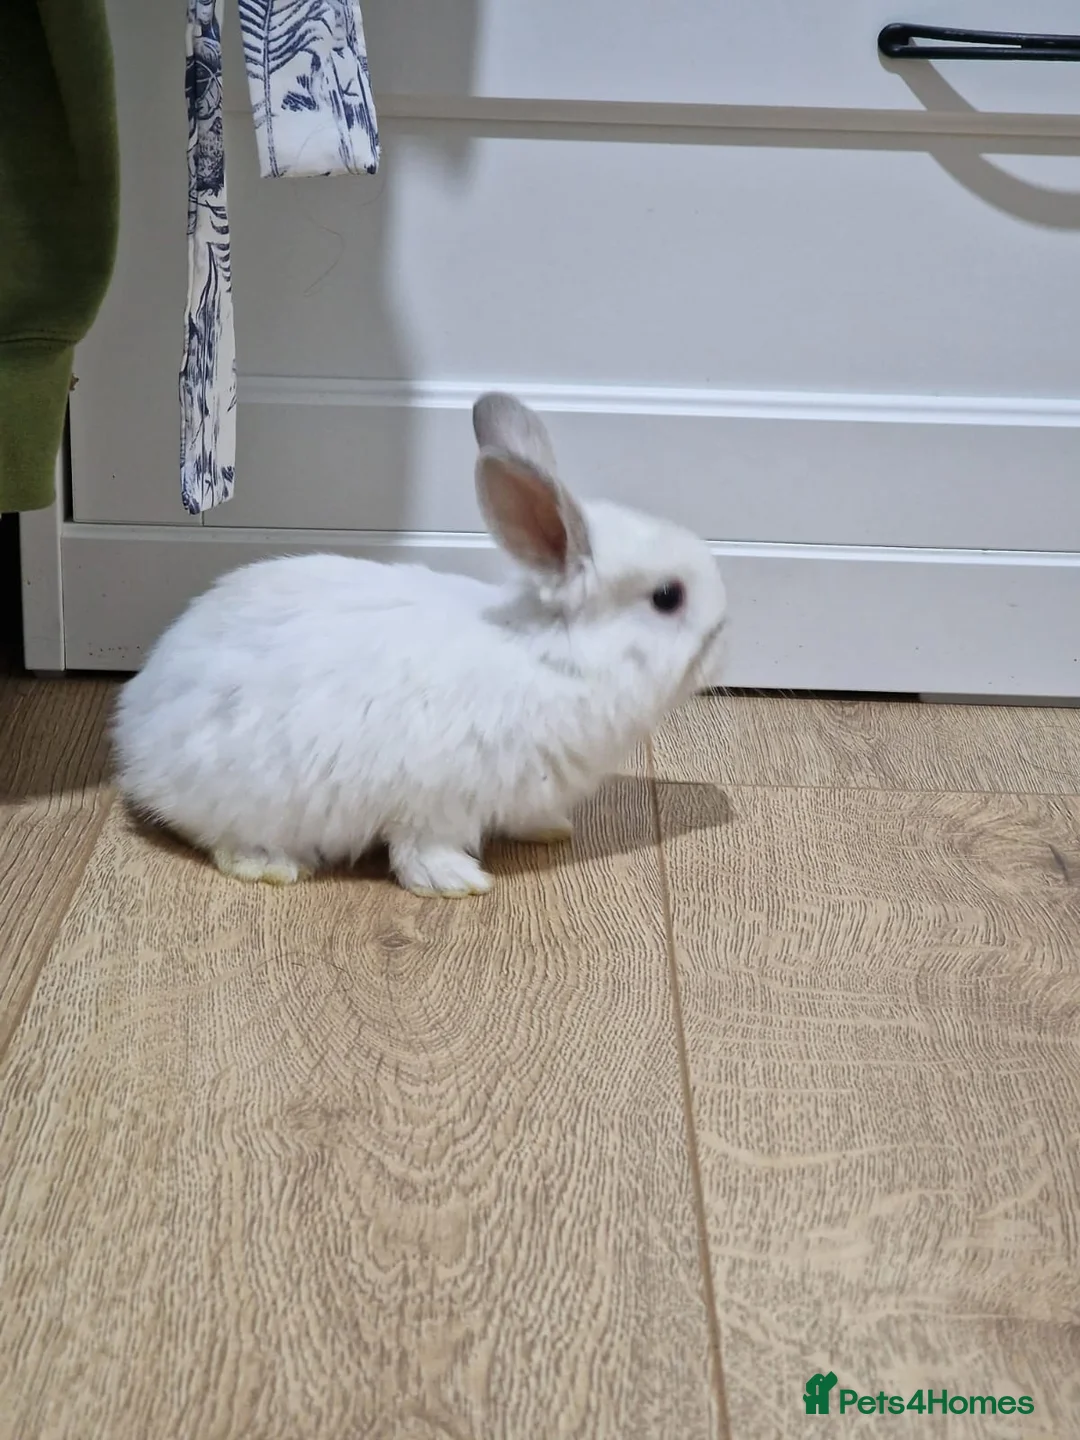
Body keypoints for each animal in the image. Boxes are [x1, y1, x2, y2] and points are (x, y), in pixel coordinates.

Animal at [112, 392, 729, 897]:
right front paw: (457, 882)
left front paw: (549, 829)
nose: (724, 629)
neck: (552, 657)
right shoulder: (437, 800)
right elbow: (422, 849)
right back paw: (271, 866)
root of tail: (135, 734)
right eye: (668, 597)